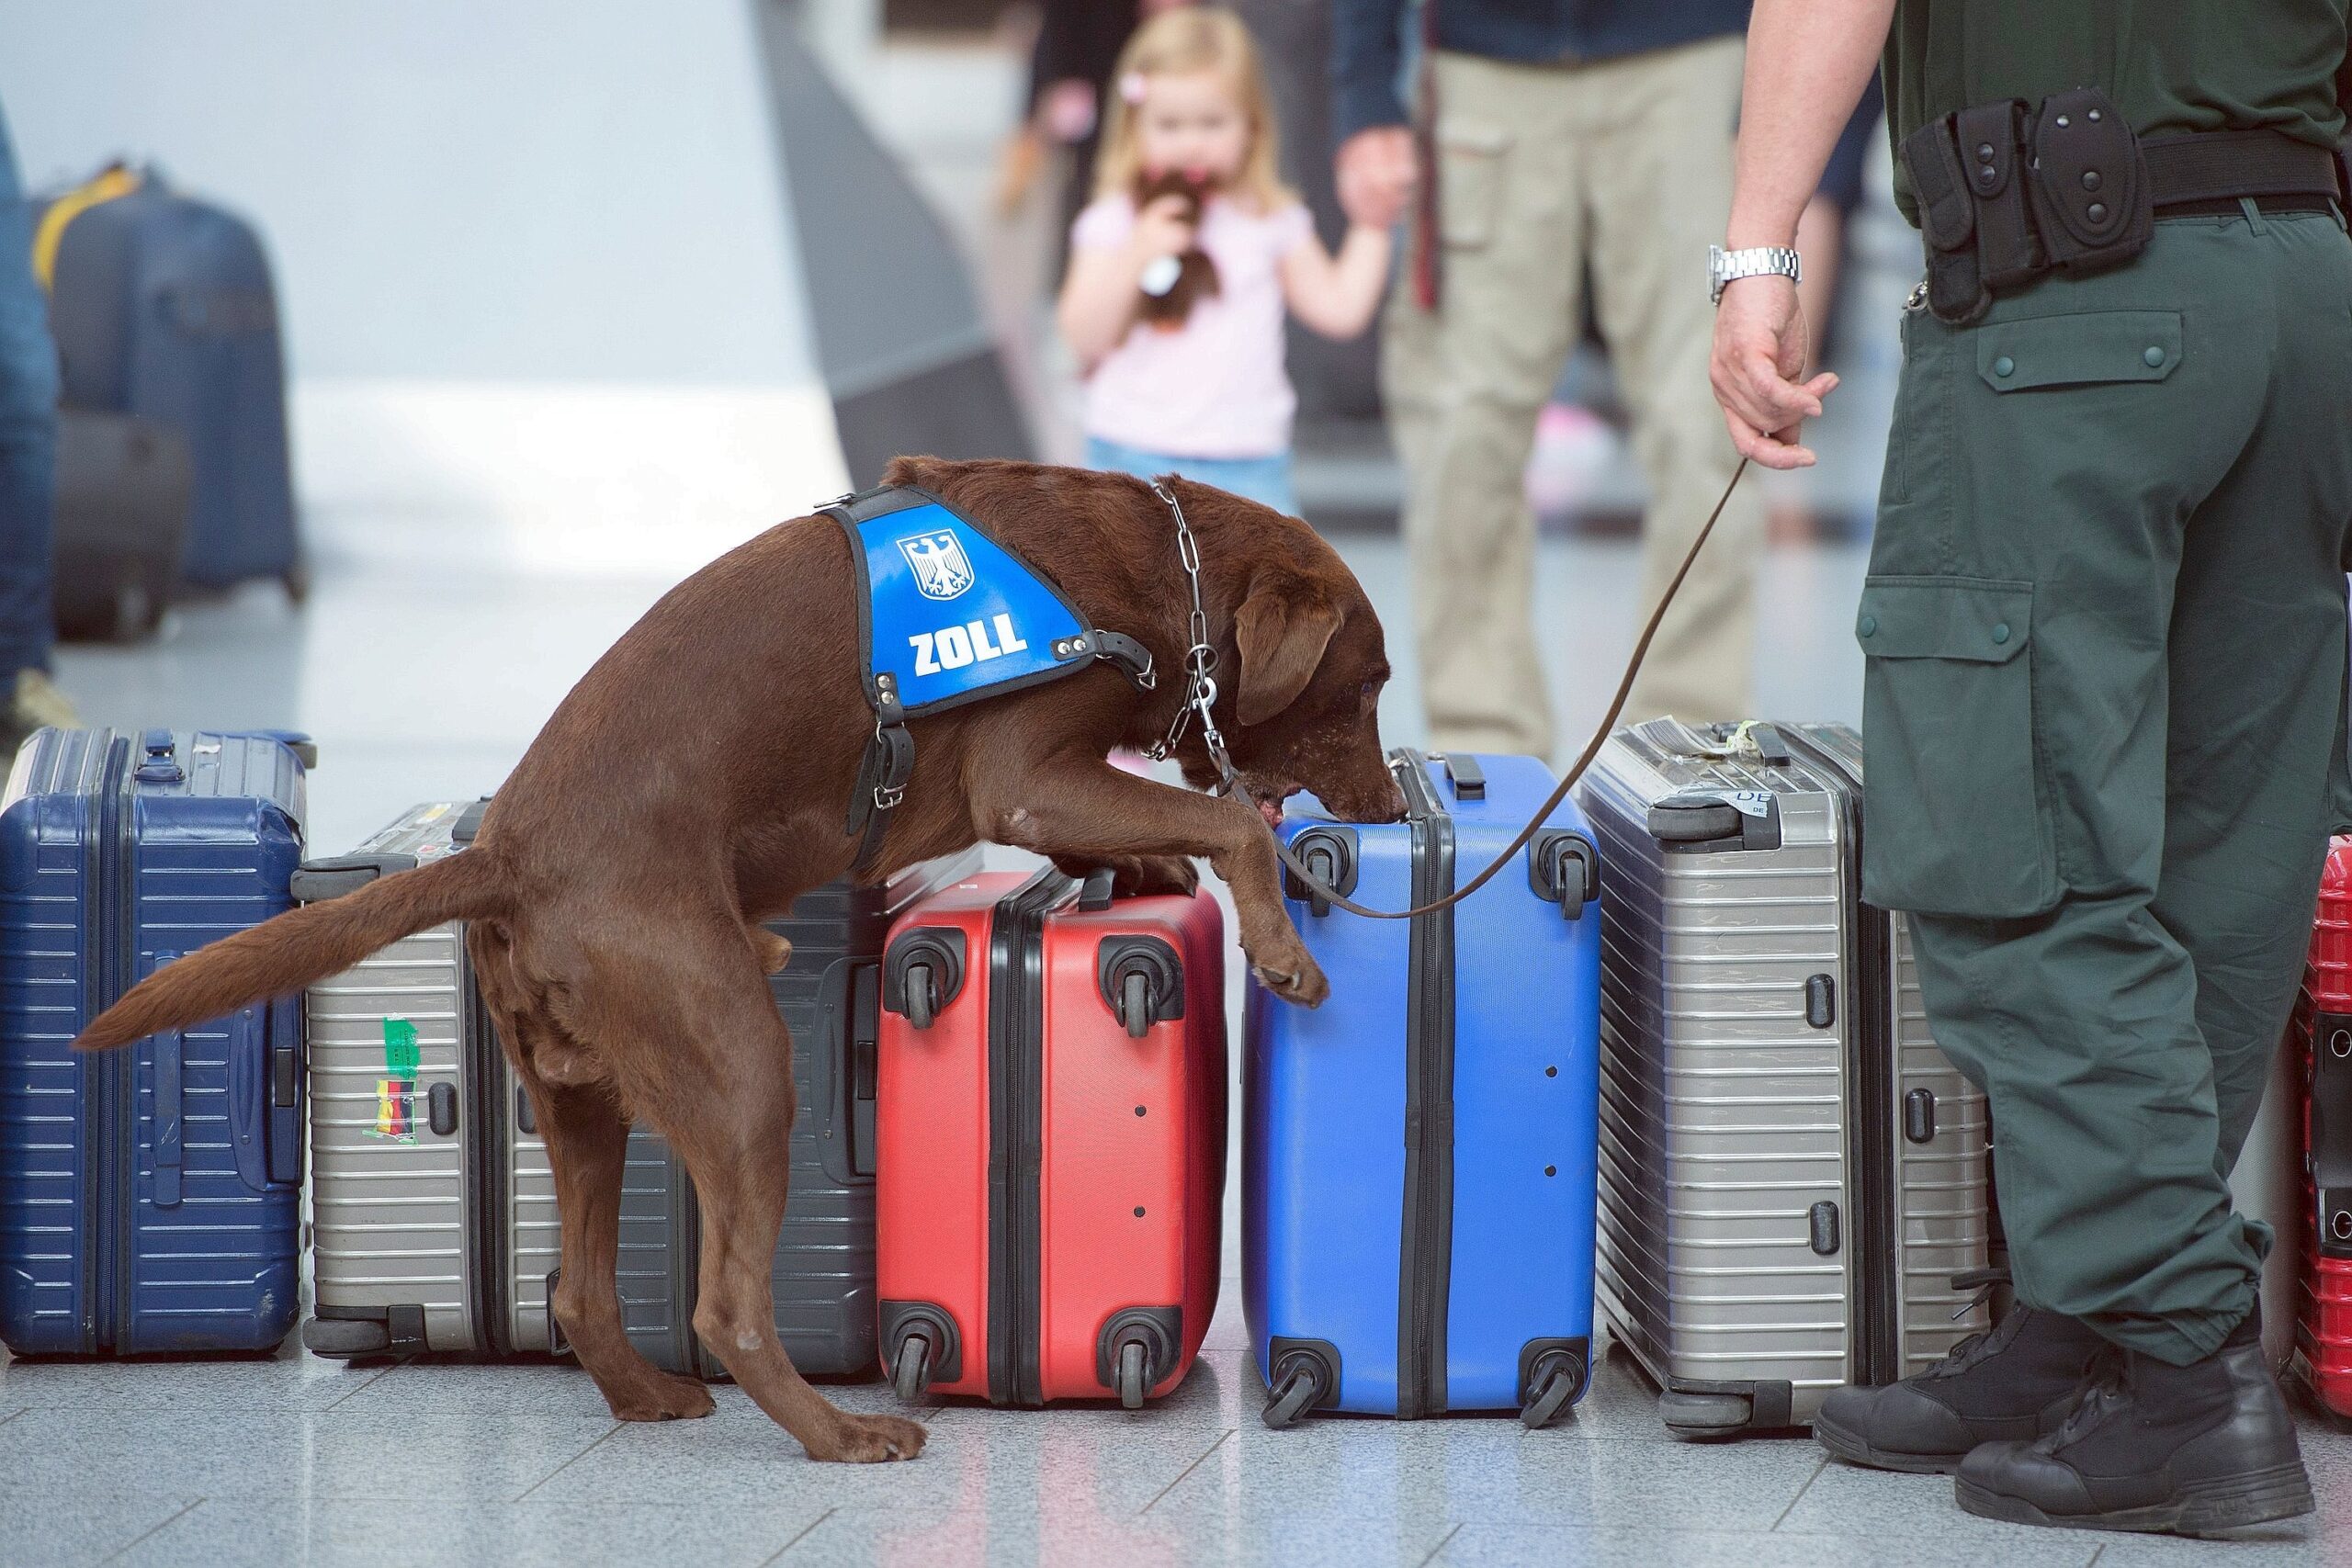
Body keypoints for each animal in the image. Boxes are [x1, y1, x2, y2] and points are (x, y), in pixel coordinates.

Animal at [68, 460, 1392, 1466]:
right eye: (1370, 683)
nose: (1384, 803)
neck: (1142, 570)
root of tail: (504, 856)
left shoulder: (1043, 788)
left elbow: (1151, 825)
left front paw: (1154, 868)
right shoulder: (1026, 771)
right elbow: (1220, 825)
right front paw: (1280, 943)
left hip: (583, 1098)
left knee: (580, 1289)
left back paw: (648, 1396)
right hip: (744, 1061)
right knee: (727, 1305)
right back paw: (838, 1435)